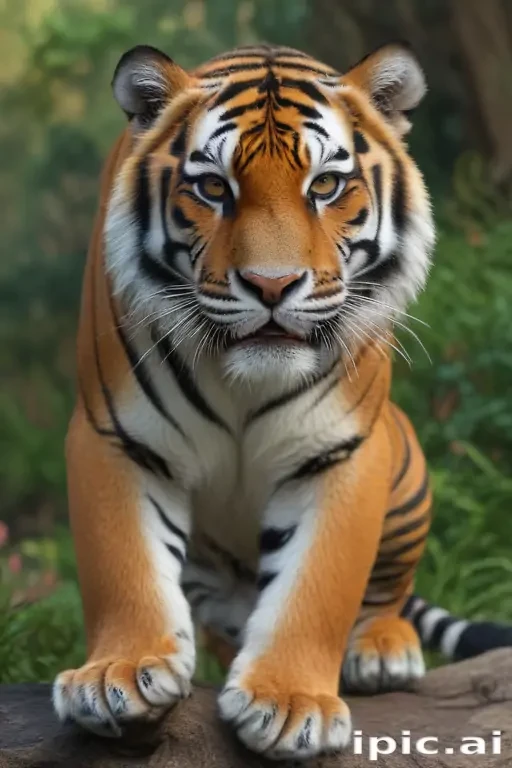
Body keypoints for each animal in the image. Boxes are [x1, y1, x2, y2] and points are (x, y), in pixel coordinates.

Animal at [52, 42, 512, 761]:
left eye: (324, 186)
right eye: (214, 188)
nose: (272, 286)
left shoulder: (344, 448)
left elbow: (317, 586)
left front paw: (291, 704)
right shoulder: (115, 434)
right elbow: (122, 564)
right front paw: (120, 675)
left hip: (407, 467)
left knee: (388, 592)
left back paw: (384, 649)